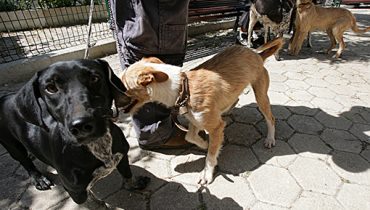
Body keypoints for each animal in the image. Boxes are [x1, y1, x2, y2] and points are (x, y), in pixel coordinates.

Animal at [1, 59, 150, 205]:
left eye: (94, 78)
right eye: (51, 88)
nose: (81, 125)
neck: (98, 145)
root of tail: (5, 97)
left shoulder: (122, 156)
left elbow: (127, 174)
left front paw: (134, 184)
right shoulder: (76, 191)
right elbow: (94, 203)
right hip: (12, 146)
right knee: (25, 161)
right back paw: (38, 178)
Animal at [118, 37, 284, 185]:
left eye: (121, 85)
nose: (113, 105)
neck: (182, 88)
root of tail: (258, 55)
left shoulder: (215, 127)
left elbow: (210, 155)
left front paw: (207, 173)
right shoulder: (195, 119)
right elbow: (190, 137)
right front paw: (204, 144)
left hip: (261, 96)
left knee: (271, 118)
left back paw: (270, 139)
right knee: (234, 100)